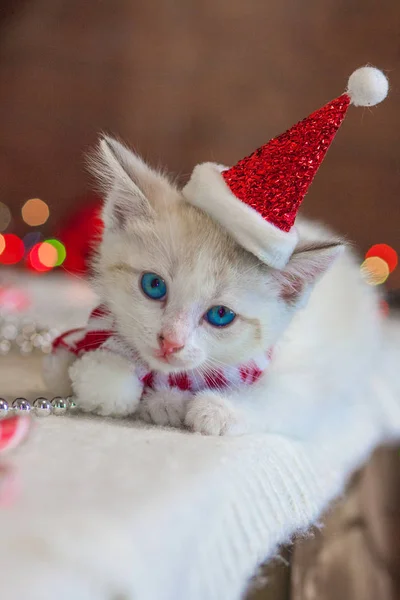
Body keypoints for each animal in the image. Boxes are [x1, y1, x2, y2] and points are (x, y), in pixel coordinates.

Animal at [43, 136, 382, 436]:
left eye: (221, 315)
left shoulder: (316, 385)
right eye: (154, 285)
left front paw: (216, 409)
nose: (170, 342)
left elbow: (282, 396)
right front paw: (151, 395)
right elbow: (61, 370)